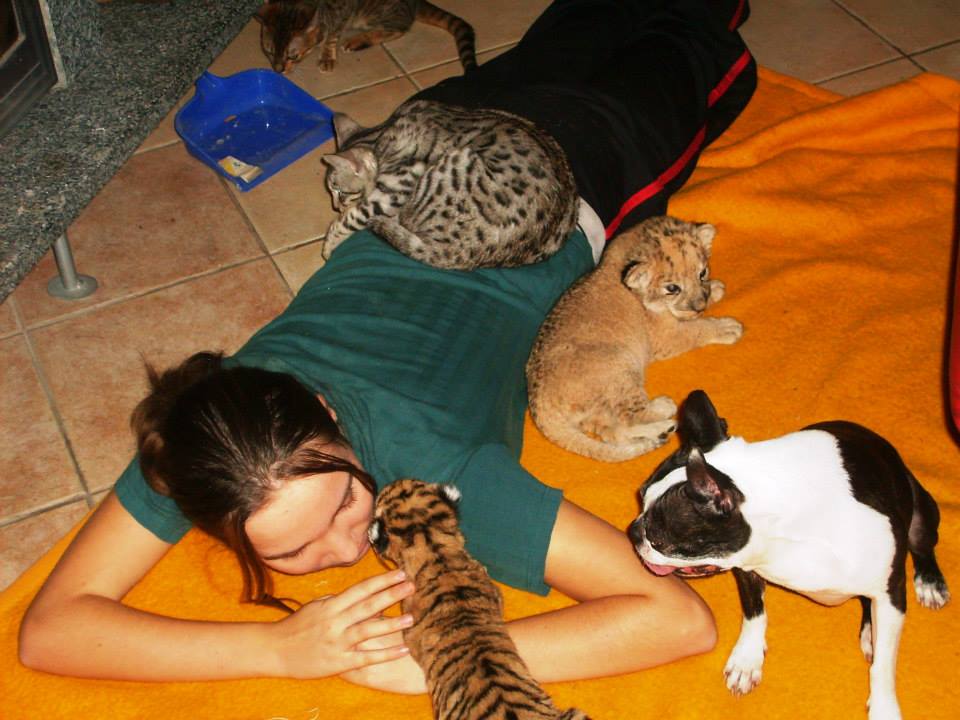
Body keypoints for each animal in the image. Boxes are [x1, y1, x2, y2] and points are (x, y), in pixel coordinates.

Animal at [628, 390, 948, 720]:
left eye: (659, 539)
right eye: (639, 497)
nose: (633, 532)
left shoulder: (890, 593)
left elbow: (884, 666)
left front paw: (884, 706)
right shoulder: (748, 566)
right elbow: (755, 612)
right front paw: (747, 661)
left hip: (922, 511)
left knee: (921, 546)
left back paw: (927, 585)